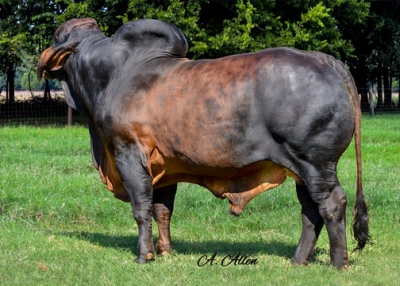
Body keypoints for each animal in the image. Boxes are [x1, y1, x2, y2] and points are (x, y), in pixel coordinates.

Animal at [38, 17, 372, 268]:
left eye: (57, 35)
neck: (112, 76)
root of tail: (321, 57)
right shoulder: (164, 168)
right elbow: (162, 210)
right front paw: (166, 251)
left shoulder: (128, 154)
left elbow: (141, 208)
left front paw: (144, 256)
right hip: (302, 170)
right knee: (310, 211)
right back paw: (298, 260)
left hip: (315, 162)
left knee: (331, 204)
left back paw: (337, 263)